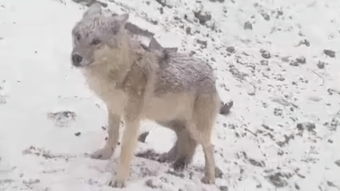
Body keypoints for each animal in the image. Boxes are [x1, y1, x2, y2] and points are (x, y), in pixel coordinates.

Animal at [71, 3, 220, 187]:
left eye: (96, 41)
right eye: (78, 36)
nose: (76, 57)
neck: (121, 70)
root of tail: (211, 74)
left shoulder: (132, 119)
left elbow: (125, 151)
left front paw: (119, 180)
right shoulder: (113, 109)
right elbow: (112, 136)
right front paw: (104, 155)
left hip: (194, 127)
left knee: (208, 147)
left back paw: (209, 177)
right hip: (168, 120)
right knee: (185, 139)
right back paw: (170, 159)